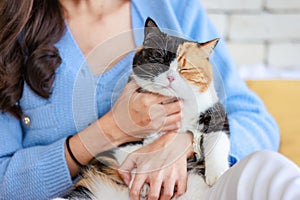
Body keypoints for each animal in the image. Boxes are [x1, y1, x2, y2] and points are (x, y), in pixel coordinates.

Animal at [61, 17, 230, 200]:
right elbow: (135, 152)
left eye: (185, 68)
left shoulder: (217, 114)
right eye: (159, 58)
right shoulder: (122, 136)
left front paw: (217, 175)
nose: (171, 77)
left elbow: (219, 140)